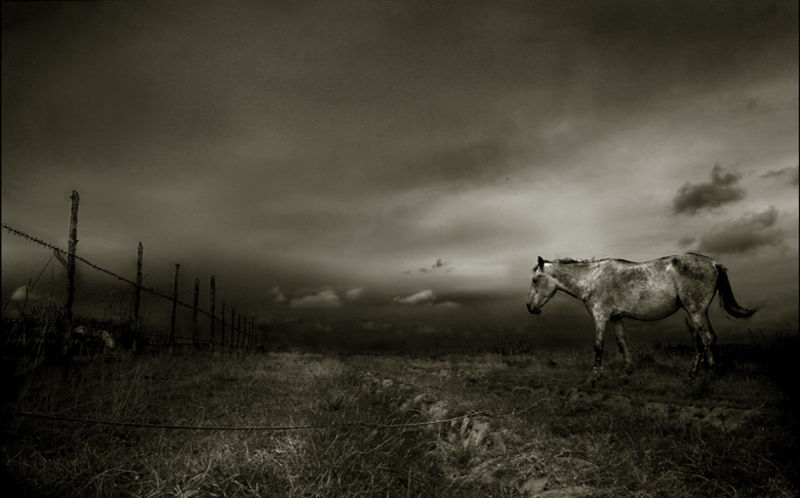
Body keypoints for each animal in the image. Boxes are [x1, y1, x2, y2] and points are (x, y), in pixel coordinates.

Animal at [525, 253, 756, 382]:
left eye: (535, 280)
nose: (529, 307)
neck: (592, 278)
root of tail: (714, 264)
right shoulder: (616, 318)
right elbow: (622, 342)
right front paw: (627, 371)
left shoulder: (600, 317)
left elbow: (598, 346)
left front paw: (594, 377)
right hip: (692, 313)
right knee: (699, 340)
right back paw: (692, 375)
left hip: (696, 310)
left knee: (708, 338)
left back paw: (710, 375)